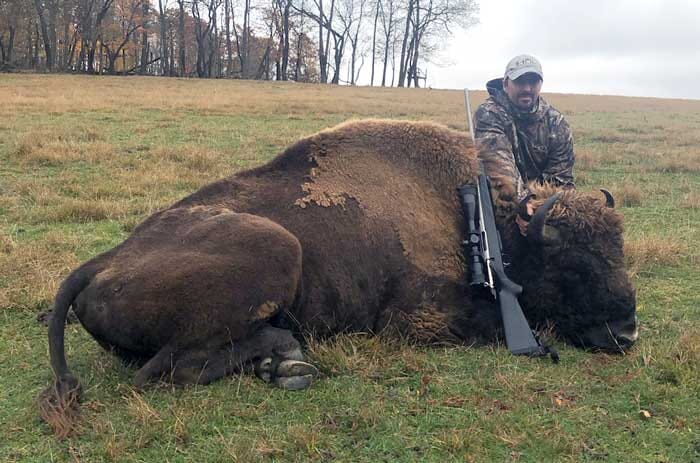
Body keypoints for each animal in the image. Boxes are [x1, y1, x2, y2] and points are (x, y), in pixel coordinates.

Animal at [39, 119, 640, 428]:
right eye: (573, 265)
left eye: (619, 250)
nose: (627, 333)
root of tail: (102, 260)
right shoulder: (416, 321)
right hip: (276, 248)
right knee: (162, 371)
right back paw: (287, 360)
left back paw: (280, 363)